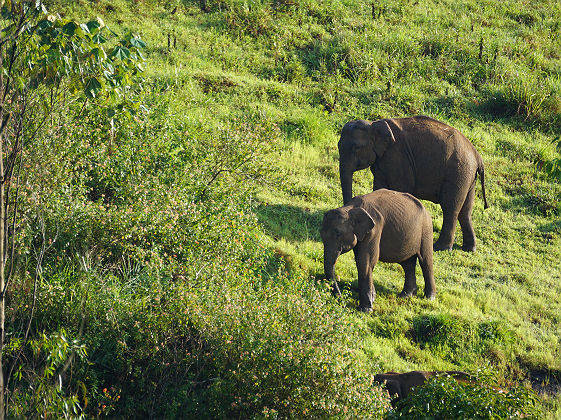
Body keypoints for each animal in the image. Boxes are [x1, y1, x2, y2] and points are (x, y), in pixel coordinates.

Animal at [336, 115, 486, 251]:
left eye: (356, 148)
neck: (373, 125)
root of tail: (477, 156)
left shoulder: (398, 158)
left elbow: (400, 188)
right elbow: (379, 187)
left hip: (458, 174)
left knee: (451, 208)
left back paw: (440, 248)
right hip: (468, 177)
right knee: (465, 211)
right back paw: (469, 249)